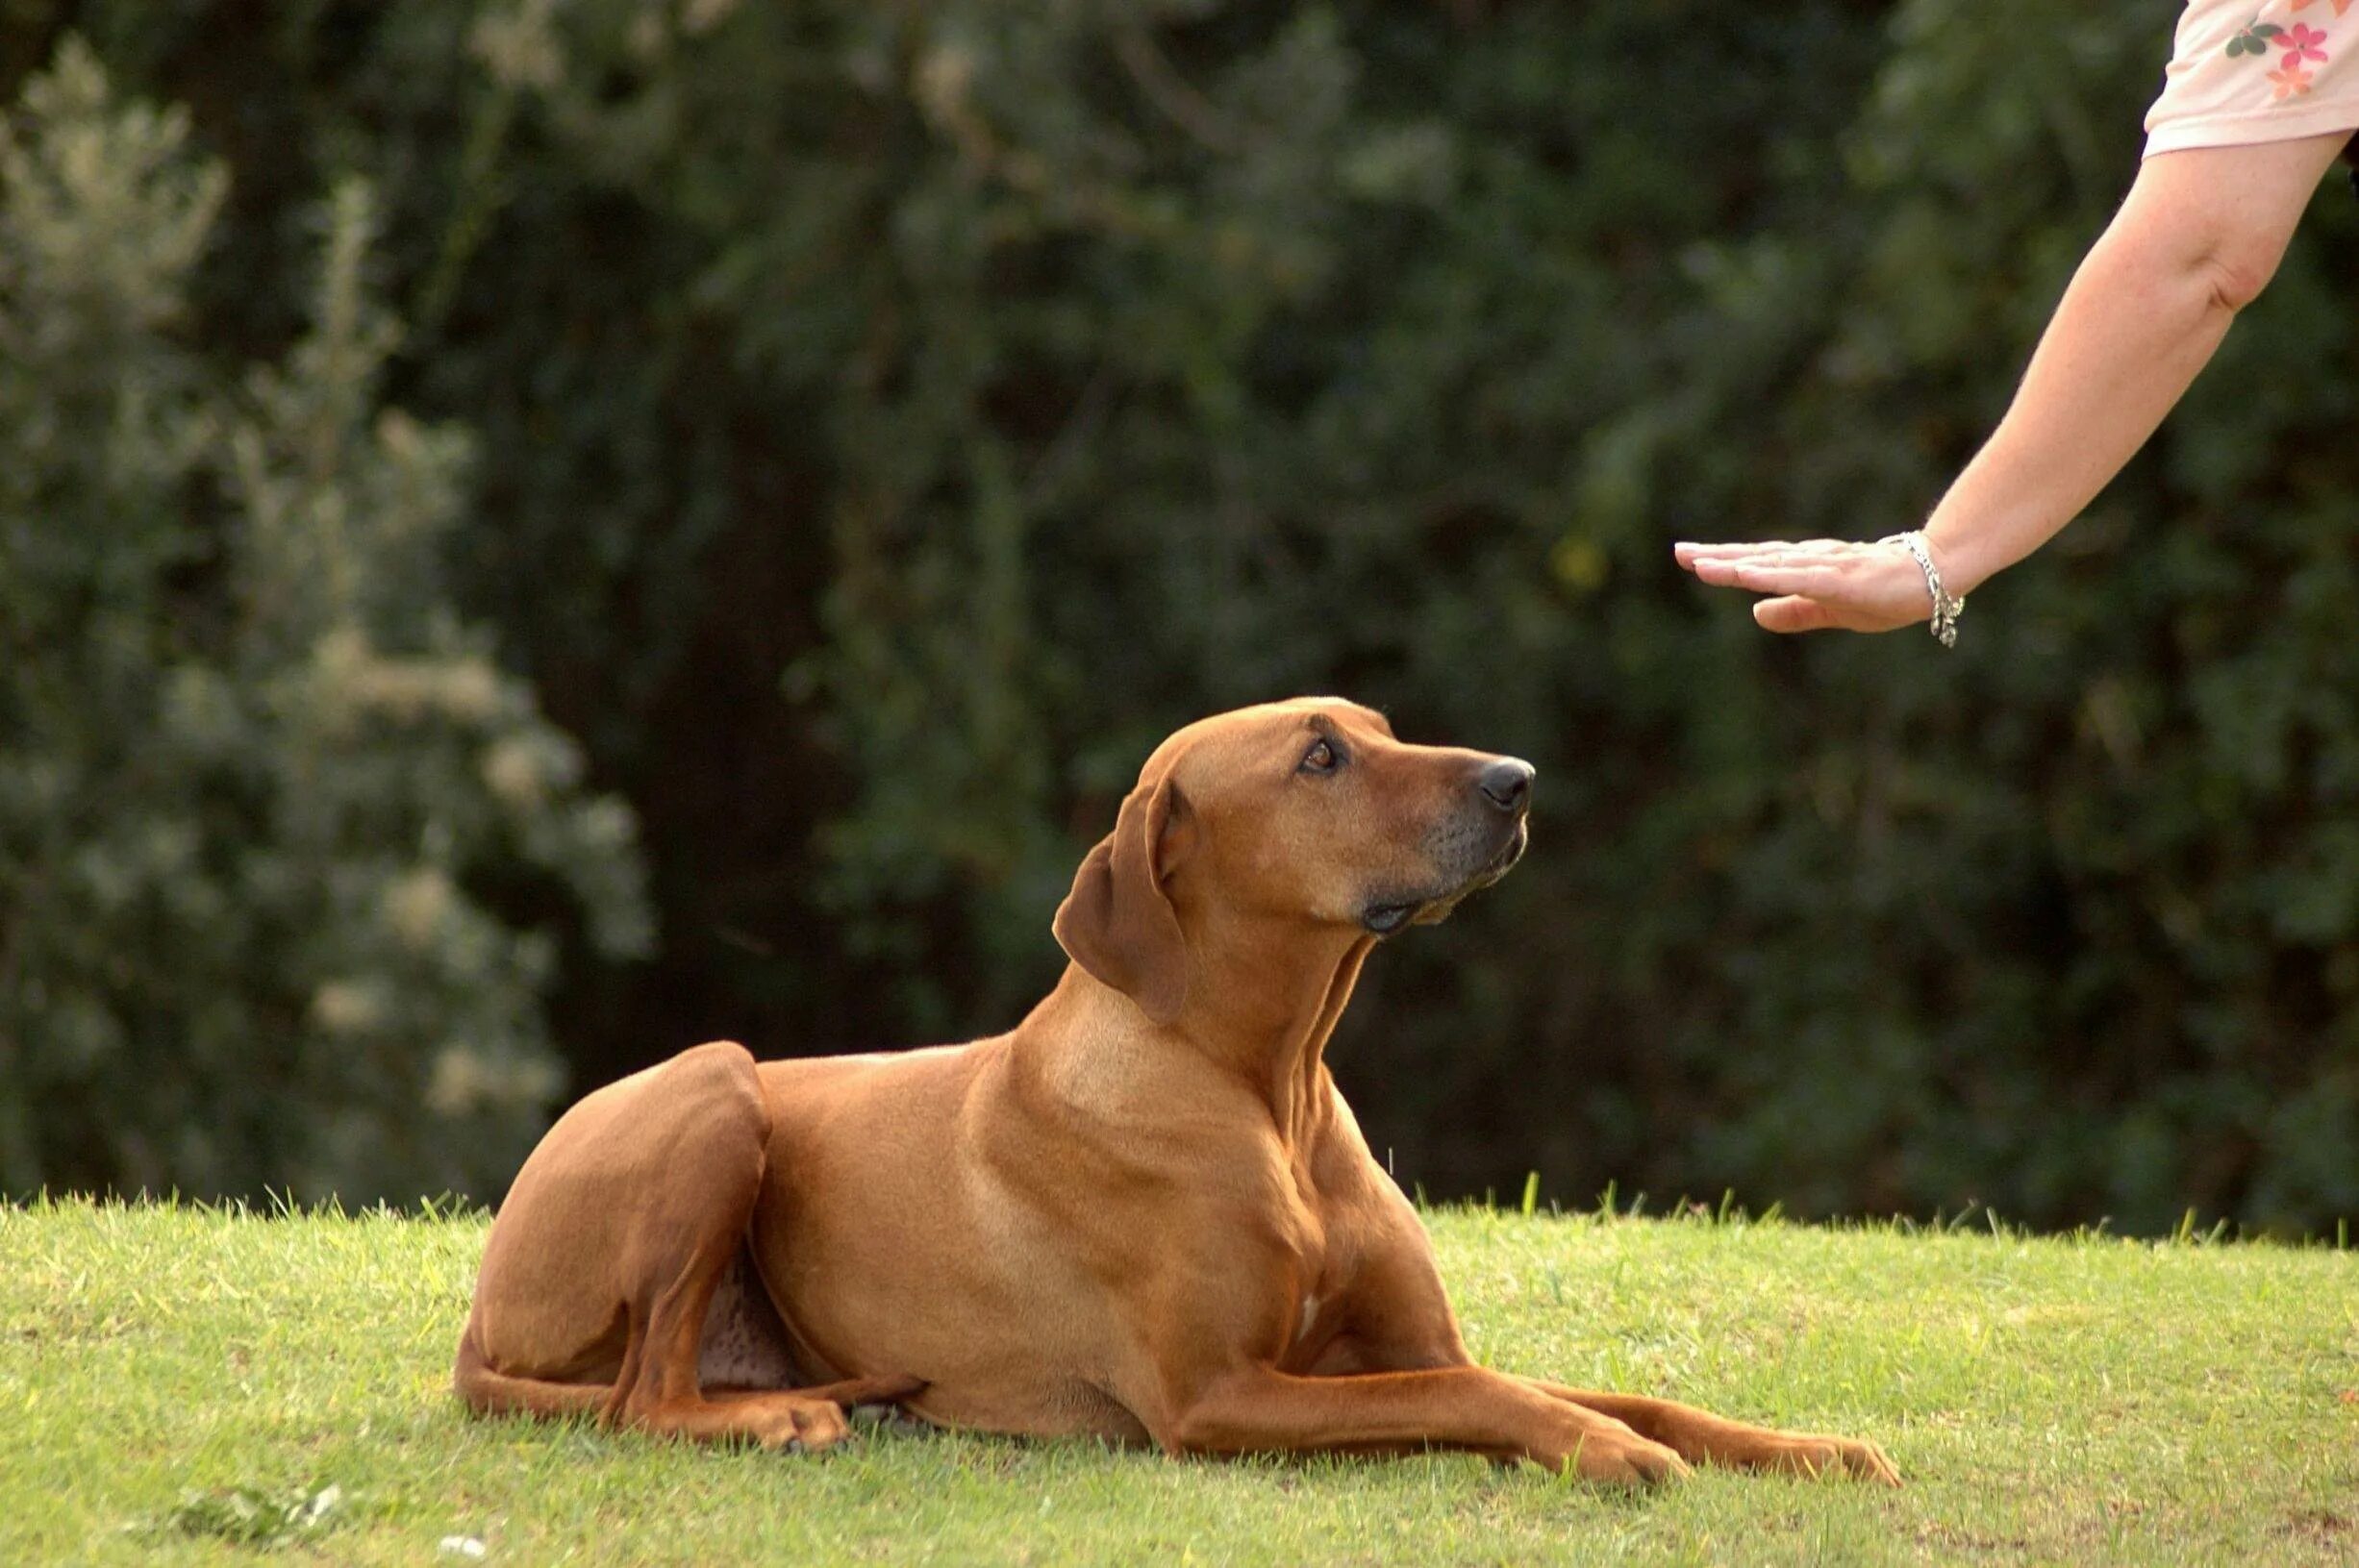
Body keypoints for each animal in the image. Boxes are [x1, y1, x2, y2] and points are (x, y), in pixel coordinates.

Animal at [455, 697, 1896, 1481]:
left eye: (1379, 729)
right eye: (1318, 758)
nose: (1517, 779)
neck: (1267, 1088)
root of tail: (477, 1315)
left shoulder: (1412, 1340)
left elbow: (1612, 1388)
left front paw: (1807, 1449)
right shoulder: (1217, 1395)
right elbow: (1483, 1397)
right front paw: (1607, 1453)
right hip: (716, 1082)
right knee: (642, 1397)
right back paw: (782, 1417)